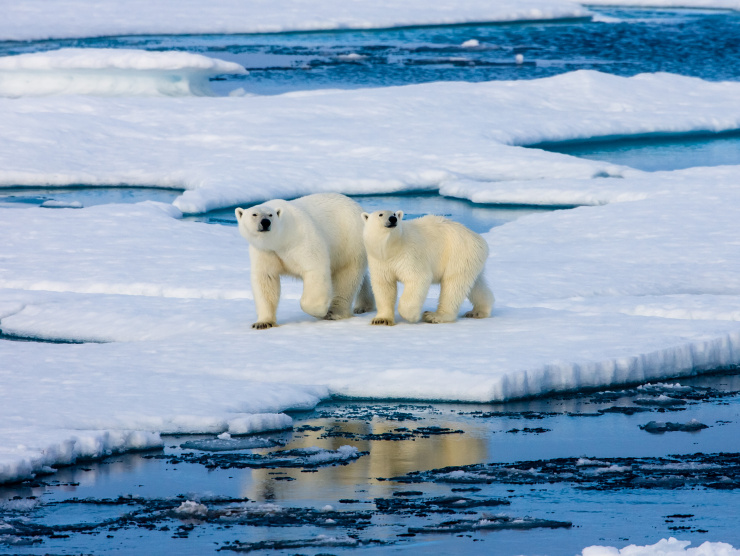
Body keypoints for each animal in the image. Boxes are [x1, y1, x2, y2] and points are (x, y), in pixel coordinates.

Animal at [237, 193, 372, 328]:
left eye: (271, 215)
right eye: (254, 214)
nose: (265, 222)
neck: (281, 239)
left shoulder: (301, 238)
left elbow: (314, 269)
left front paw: (320, 311)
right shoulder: (265, 251)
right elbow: (266, 279)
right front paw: (263, 323)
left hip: (349, 241)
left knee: (346, 277)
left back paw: (334, 312)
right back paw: (364, 306)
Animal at [362, 208, 494, 324]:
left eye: (394, 213)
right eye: (380, 214)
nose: (393, 219)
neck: (391, 249)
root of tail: (478, 239)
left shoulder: (409, 254)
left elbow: (418, 278)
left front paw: (412, 316)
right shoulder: (380, 261)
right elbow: (384, 286)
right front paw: (381, 320)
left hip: (458, 253)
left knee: (453, 285)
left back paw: (434, 316)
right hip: (471, 259)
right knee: (475, 284)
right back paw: (478, 311)